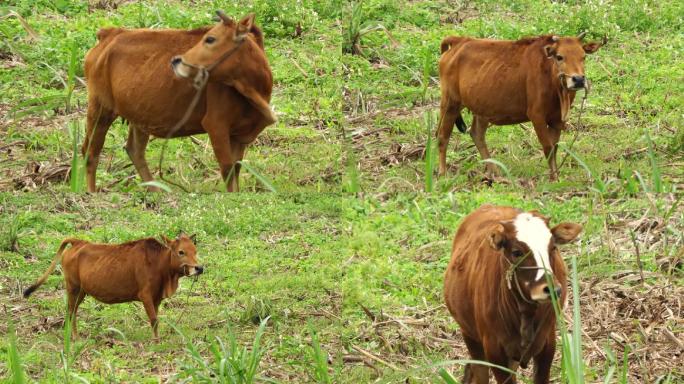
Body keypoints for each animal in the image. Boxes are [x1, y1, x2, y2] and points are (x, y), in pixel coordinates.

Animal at [23, 232, 203, 338]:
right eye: (181, 252)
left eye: (195, 251)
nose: (199, 268)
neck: (160, 264)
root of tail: (78, 242)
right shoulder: (145, 295)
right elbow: (154, 320)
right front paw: (156, 342)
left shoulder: (156, 298)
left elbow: (155, 319)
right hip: (72, 286)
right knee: (71, 311)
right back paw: (75, 338)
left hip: (82, 290)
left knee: (71, 311)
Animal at [84, 11, 276, 192]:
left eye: (210, 39)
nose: (177, 61)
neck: (253, 89)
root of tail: (110, 33)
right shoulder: (216, 125)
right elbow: (228, 170)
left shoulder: (239, 133)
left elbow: (236, 168)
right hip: (100, 108)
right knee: (90, 152)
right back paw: (91, 194)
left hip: (138, 116)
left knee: (134, 150)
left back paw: (155, 191)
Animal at [438, 33, 604, 180]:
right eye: (559, 57)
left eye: (583, 57)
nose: (578, 79)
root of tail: (459, 41)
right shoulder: (537, 115)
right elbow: (548, 147)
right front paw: (553, 178)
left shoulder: (557, 120)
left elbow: (554, 147)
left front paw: (556, 176)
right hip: (450, 103)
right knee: (442, 136)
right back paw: (443, 173)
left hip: (481, 108)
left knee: (477, 134)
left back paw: (494, 173)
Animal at [444, 206, 584, 382]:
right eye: (517, 252)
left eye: (553, 247)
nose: (552, 289)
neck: (526, 313)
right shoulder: (494, 351)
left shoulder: (547, 344)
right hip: (470, 336)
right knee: (479, 371)